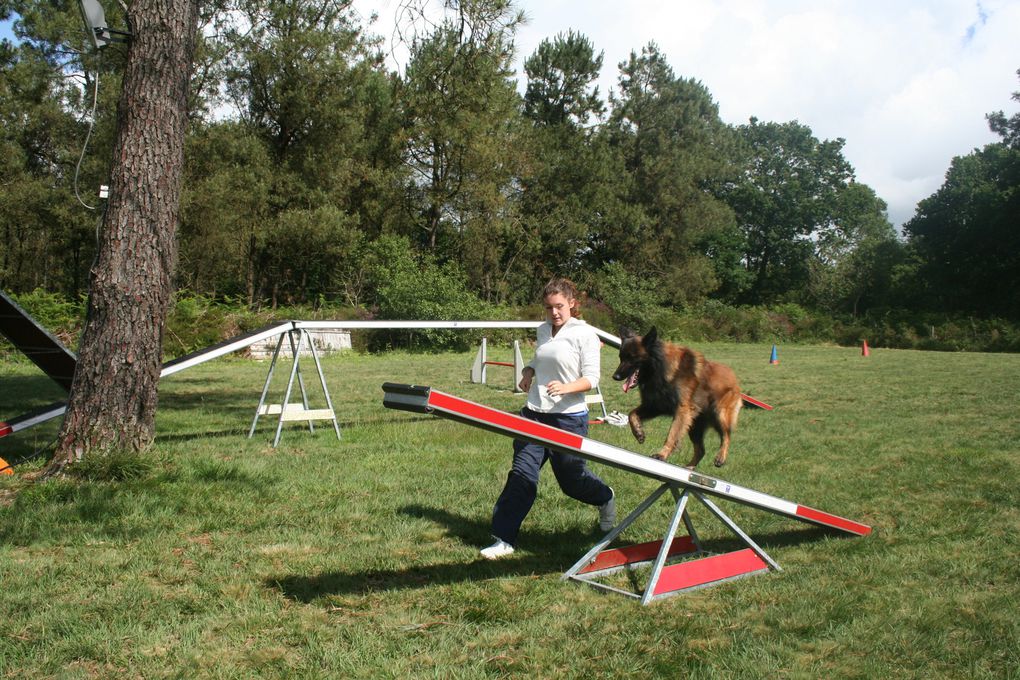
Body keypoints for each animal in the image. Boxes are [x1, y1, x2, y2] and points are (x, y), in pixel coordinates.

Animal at [607, 328, 746, 468]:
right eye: (621, 357)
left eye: (632, 358)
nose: (615, 376)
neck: (660, 369)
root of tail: (734, 378)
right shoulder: (655, 406)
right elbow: (632, 414)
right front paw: (638, 432)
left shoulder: (682, 409)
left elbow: (672, 434)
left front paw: (662, 454)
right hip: (694, 426)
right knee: (701, 450)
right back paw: (689, 467)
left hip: (719, 414)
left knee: (726, 435)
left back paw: (720, 457)